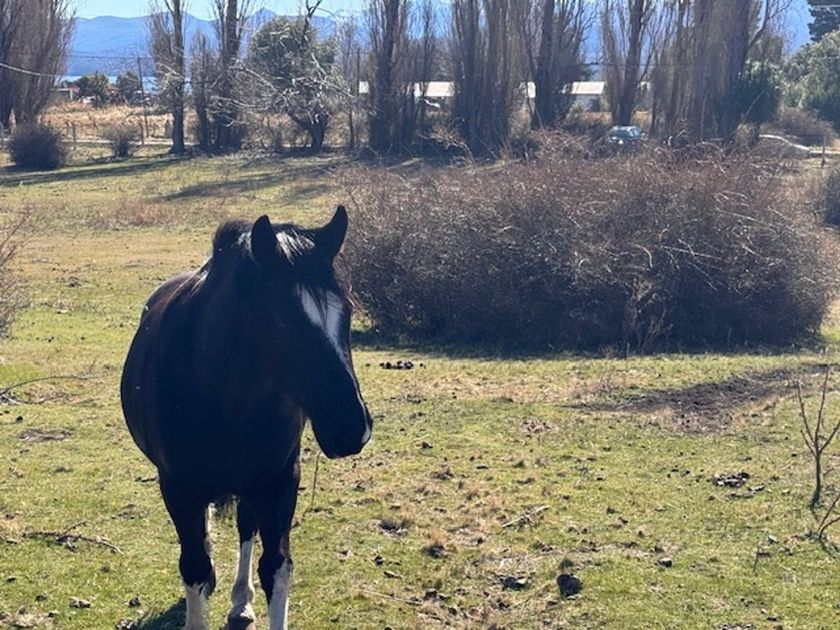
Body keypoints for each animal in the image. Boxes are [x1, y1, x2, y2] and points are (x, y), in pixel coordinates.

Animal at [120, 206, 372, 630]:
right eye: (283, 322)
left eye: (348, 312)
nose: (353, 429)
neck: (225, 395)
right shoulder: (178, 488)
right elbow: (193, 566)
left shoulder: (278, 483)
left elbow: (276, 567)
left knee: (245, 526)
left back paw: (241, 601)